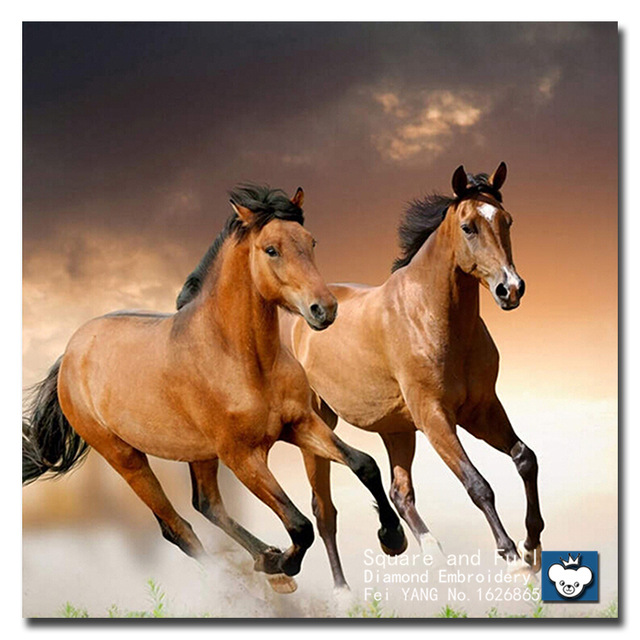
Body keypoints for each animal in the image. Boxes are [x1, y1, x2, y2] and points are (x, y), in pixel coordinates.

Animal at [22, 185, 407, 594]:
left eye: (311, 241)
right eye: (271, 249)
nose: (324, 309)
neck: (243, 359)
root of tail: (69, 354)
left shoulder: (300, 424)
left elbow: (364, 465)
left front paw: (392, 537)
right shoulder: (242, 456)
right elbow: (299, 524)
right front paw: (281, 564)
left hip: (199, 452)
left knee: (207, 504)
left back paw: (265, 561)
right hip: (125, 457)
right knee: (178, 529)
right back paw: (254, 577)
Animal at [292, 164, 544, 590]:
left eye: (506, 221)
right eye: (469, 227)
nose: (510, 289)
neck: (431, 317)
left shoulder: (482, 410)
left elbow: (525, 459)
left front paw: (532, 543)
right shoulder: (435, 417)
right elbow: (478, 485)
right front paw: (511, 556)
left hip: (396, 429)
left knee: (399, 492)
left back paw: (428, 552)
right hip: (318, 427)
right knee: (324, 512)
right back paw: (344, 592)